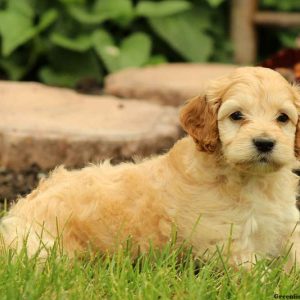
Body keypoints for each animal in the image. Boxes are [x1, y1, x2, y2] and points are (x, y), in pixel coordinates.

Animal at [0, 66, 300, 268]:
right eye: (237, 116)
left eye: (283, 118)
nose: (264, 143)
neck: (255, 182)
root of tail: (19, 207)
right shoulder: (226, 243)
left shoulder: (288, 223)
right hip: (45, 248)